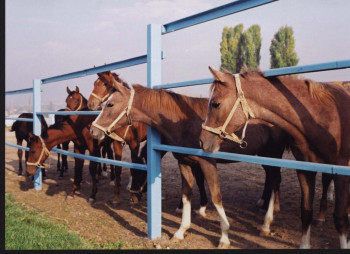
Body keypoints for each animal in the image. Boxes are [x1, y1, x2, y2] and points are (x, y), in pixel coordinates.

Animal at [89, 72, 292, 248]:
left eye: (110, 105)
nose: (93, 129)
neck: (185, 121)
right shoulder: (184, 162)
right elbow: (187, 193)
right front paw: (180, 231)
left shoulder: (207, 163)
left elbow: (216, 196)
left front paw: (224, 237)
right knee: (273, 178)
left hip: (273, 153)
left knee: (275, 179)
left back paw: (266, 223)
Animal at [200, 67, 350, 248]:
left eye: (215, 104)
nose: (202, 141)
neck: (319, 117)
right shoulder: (305, 170)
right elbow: (306, 211)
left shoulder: (341, 172)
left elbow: (340, 219)